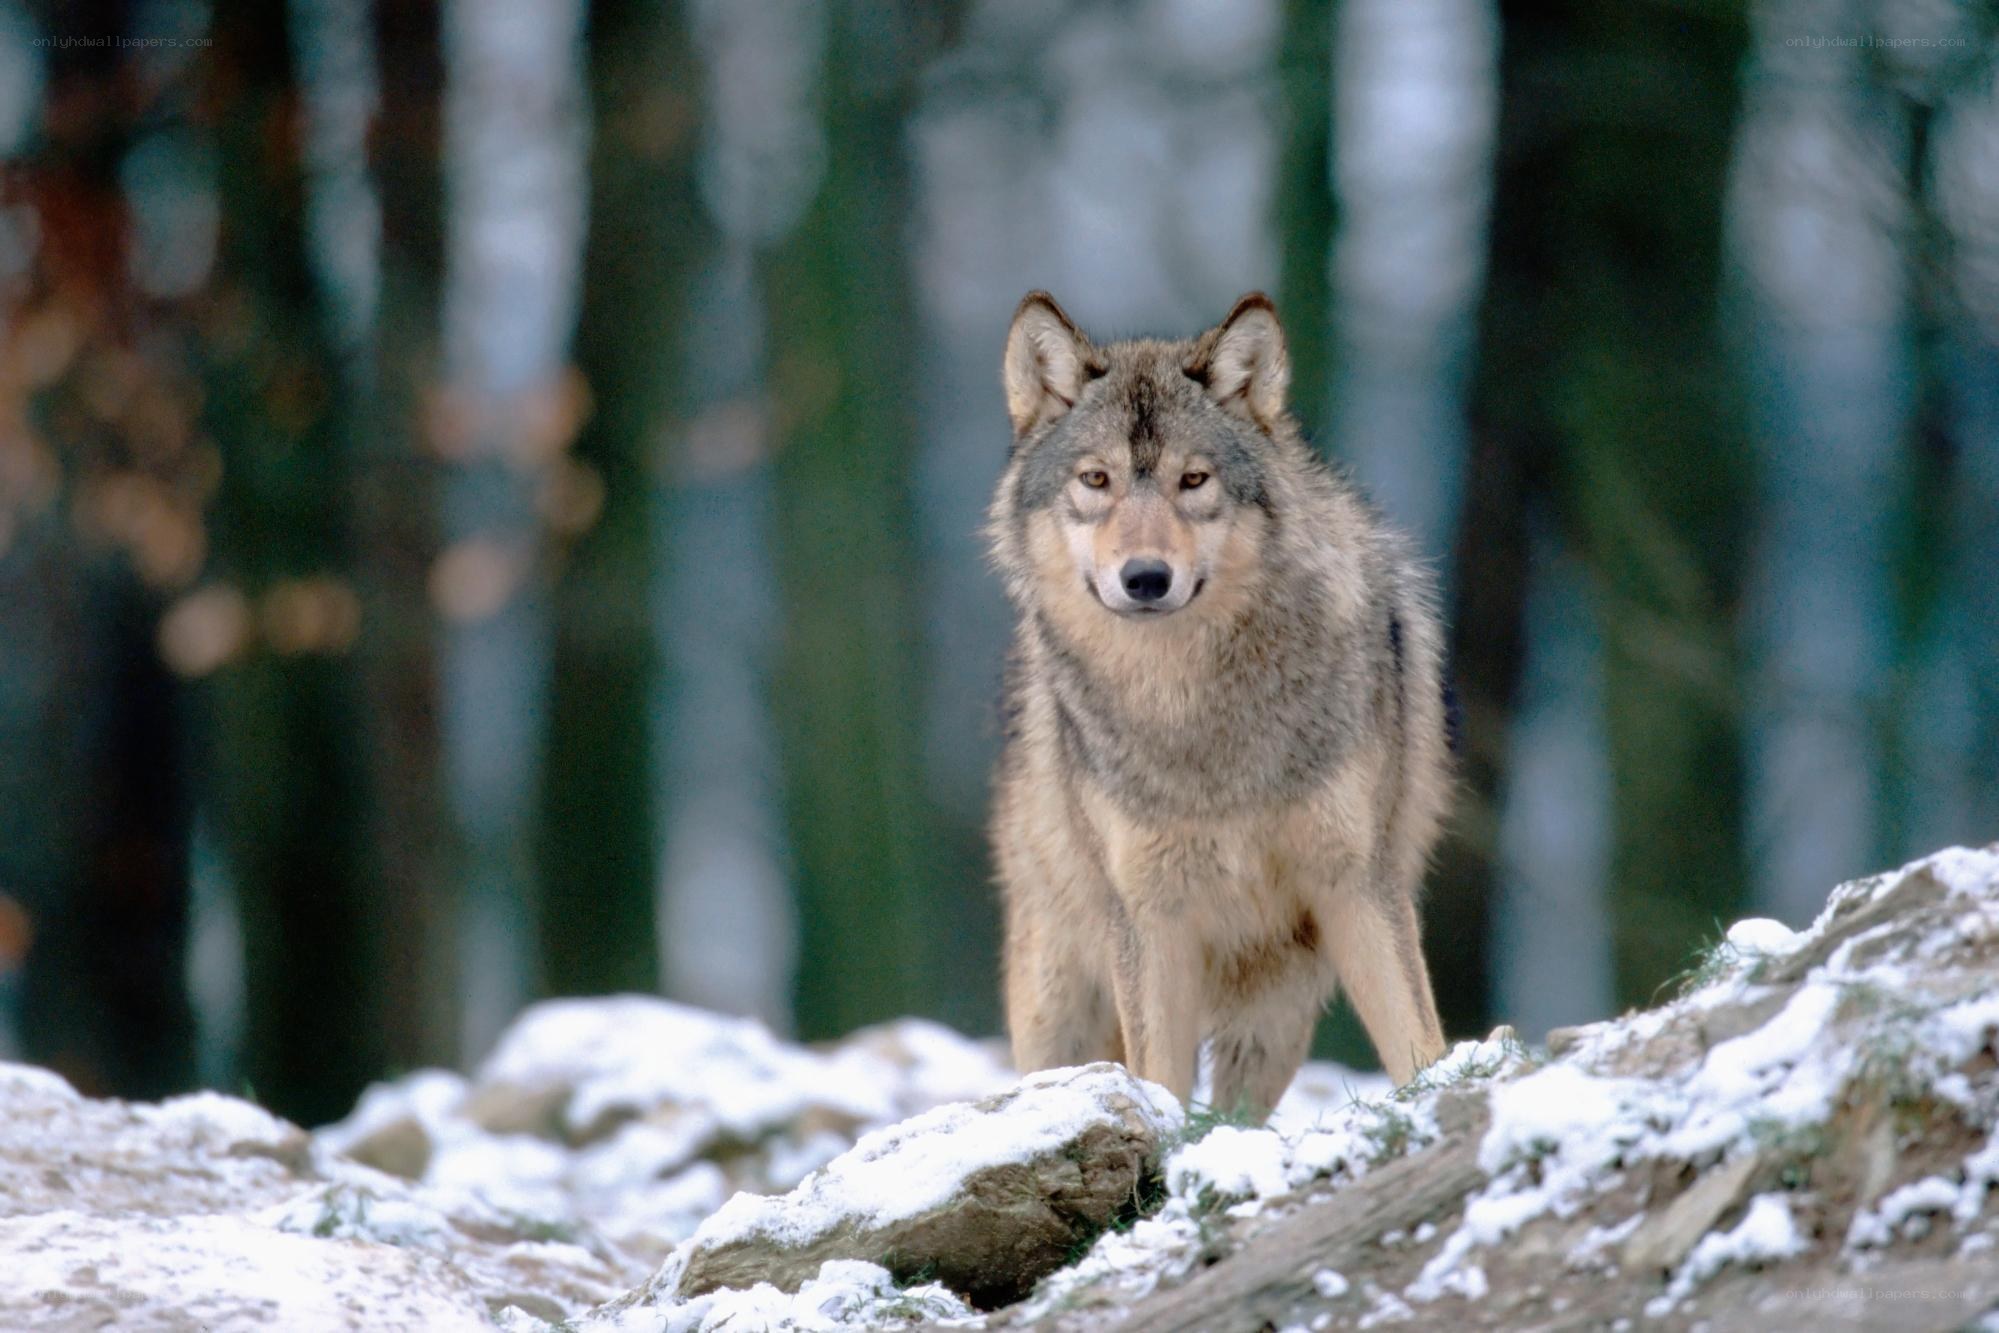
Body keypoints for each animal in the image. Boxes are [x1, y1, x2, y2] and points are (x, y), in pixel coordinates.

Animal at [986, 290, 1451, 1114]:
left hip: (1274, 1011)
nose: (1145, 577)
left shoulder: (1358, 883)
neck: (1194, 712)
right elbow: (1160, 1080)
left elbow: (1416, 1043)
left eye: (1193, 480)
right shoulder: (1149, 917)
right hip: (1058, 1002)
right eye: (1096, 480)